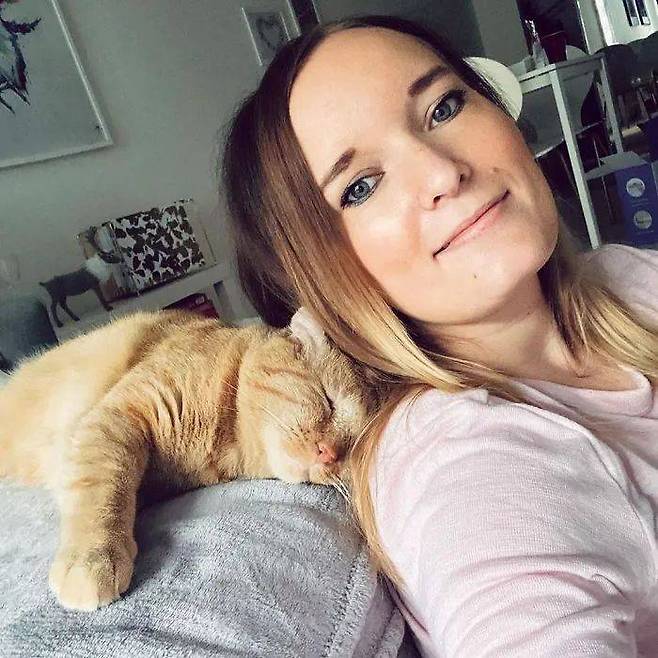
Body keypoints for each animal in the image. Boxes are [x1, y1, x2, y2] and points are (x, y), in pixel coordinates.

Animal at [0, 309, 373, 612]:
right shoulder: (120, 416)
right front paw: (92, 558)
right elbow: (102, 490)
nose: (329, 454)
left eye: (352, 450)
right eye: (328, 401)